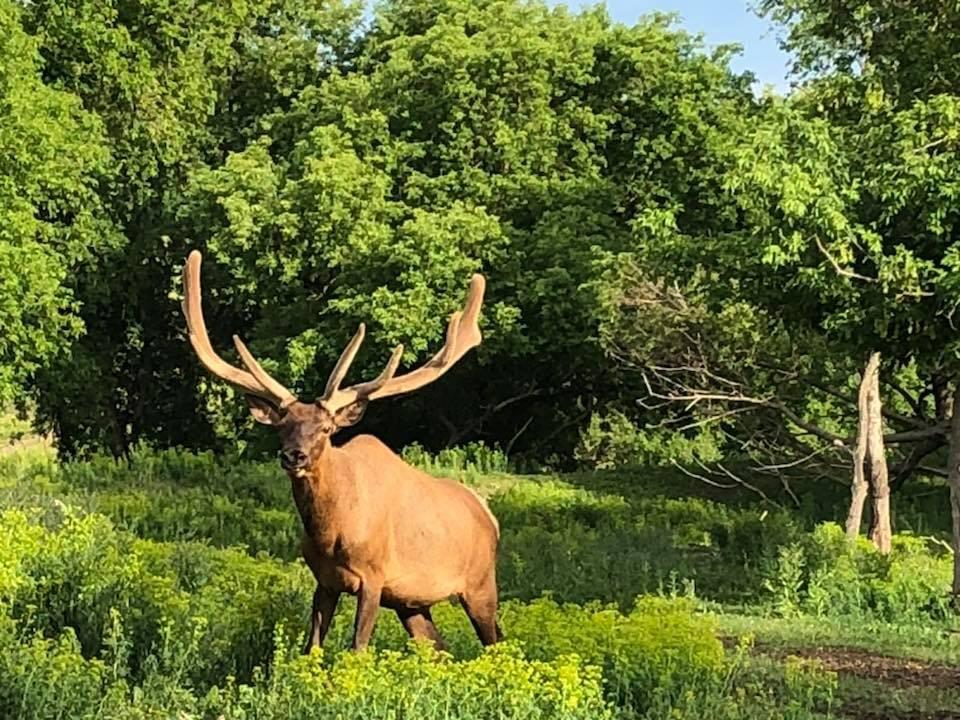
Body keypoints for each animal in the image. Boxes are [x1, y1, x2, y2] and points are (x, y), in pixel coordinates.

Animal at [180, 250, 501, 653]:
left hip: (480, 585)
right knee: (439, 649)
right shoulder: (325, 581)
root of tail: (490, 516)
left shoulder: (374, 578)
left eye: (327, 429)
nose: (294, 456)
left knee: (496, 642)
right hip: (412, 602)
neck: (332, 530)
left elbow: (357, 649)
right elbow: (312, 648)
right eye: (282, 426)